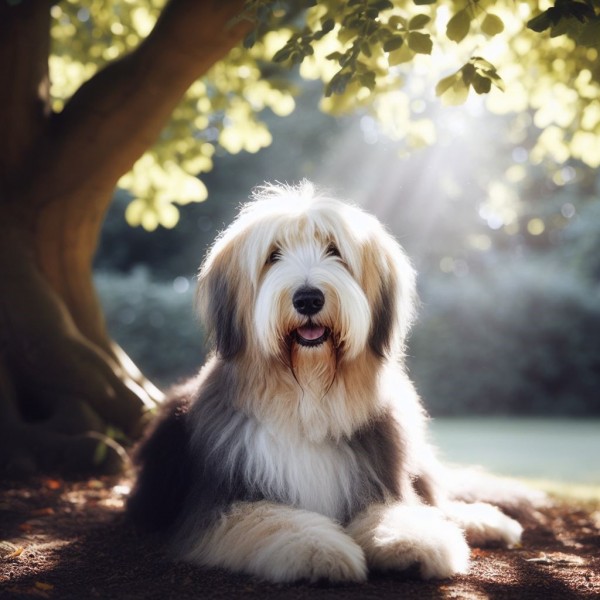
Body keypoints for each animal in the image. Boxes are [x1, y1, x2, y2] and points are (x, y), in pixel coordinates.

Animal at [127, 182, 528, 580]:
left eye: (334, 250)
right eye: (273, 255)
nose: (308, 298)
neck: (309, 398)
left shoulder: (379, 475)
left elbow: (396, 509)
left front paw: (410, 542)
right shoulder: (221, 502)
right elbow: (271, 518)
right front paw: (318, 548)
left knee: (436, 498)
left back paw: (485, 521)